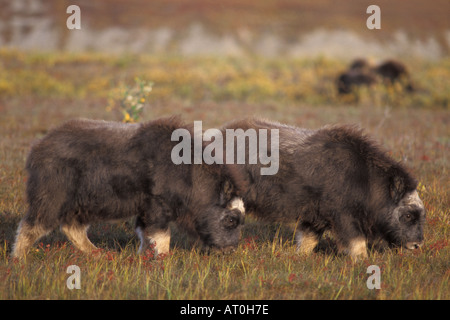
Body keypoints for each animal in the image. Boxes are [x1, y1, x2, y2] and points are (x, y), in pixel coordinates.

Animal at [13, 116, 246, 258]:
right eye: (231, 220)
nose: (231, 250)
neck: (189, 174)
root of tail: (38, 147)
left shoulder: (145, 209)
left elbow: (145, 233)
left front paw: (143, 257)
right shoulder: (157, 206)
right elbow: (162, 235)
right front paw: (164, 259)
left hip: (81, 206)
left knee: (73, 228)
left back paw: (98, 254)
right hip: (51, 199)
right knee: (31, 226)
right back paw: (19, 260)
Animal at [221, 119, 426, 258]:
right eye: (408, 215)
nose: (417, 245)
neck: (366, 179)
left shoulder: (314, 217)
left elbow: (308, 240)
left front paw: (300, 257)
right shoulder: (344, 216)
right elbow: (356, 242)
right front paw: (363, 261)